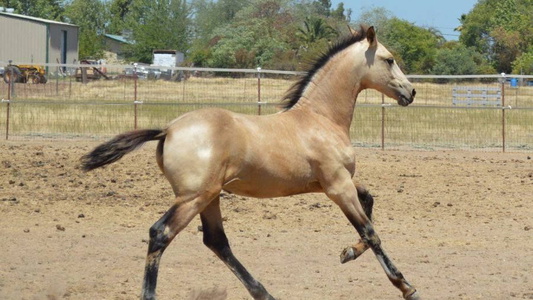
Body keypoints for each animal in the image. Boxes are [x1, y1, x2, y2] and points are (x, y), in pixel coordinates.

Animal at [80, 26, 420, 300]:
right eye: (389, 59)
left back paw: (263, 292)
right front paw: (405, 286)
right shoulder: (338, 186)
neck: (320, 119)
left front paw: (347, 253)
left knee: (216, 241)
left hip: (210, 197)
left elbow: (370, 203)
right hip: (193, 197)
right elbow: (371, 232)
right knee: (160, 234)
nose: (411, 92)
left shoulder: (333, 184)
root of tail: (169, 129)